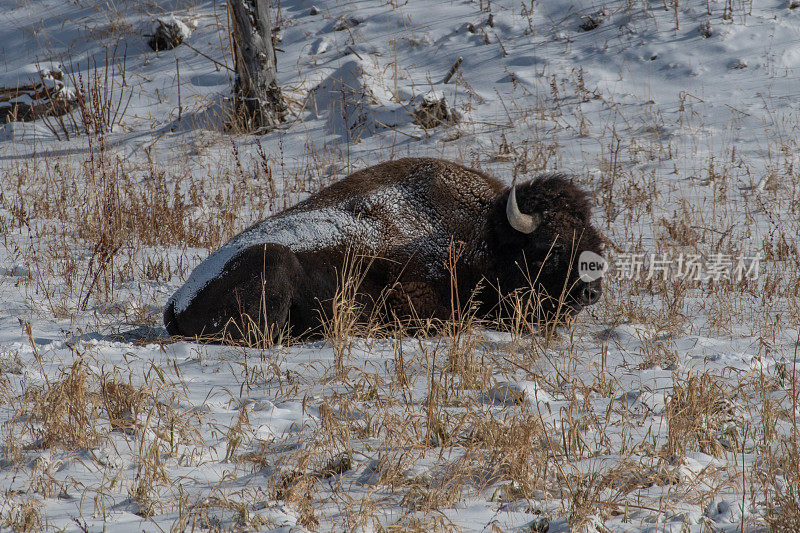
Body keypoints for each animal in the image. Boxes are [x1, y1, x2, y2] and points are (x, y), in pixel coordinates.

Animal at [164, 156, 600, 338]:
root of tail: (175, 303)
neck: (483, 235)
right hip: (273, 260)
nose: (591, 293)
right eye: (549, 247)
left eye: (592, 240)